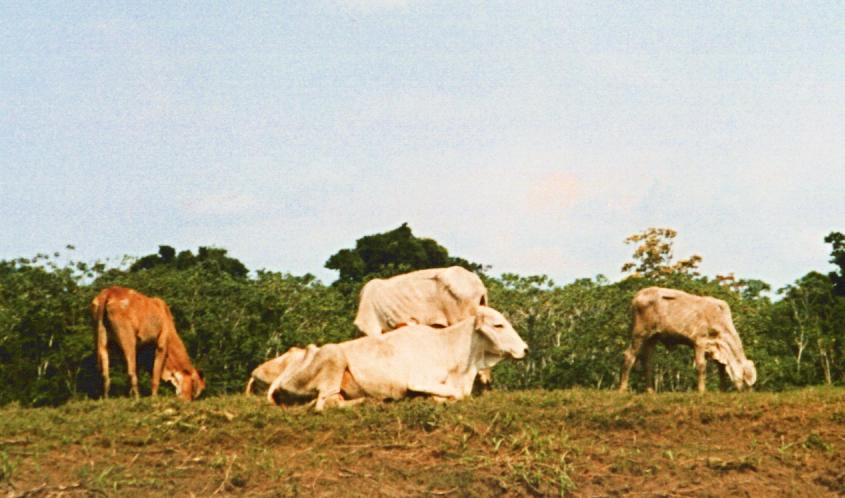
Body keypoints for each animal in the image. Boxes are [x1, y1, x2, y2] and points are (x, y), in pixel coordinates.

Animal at [267, 306, 528, 411]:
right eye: (498, 325)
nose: (525, 349)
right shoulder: (418, 380)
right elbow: (455, 394)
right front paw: (433, 398)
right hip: (334, 355)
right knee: (326, 404)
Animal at [618, 286, 757, 393]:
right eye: (746, 381)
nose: (748, 394)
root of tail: (638, 295)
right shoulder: (699, 341)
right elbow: (701, 366)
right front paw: (702, 391)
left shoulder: (715, 348)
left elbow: (721, 370)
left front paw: (721, 391)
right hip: (639, 334)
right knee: (629, 355)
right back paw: (622, 390)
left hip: (652, 338)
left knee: (648, 362)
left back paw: (650, 391)